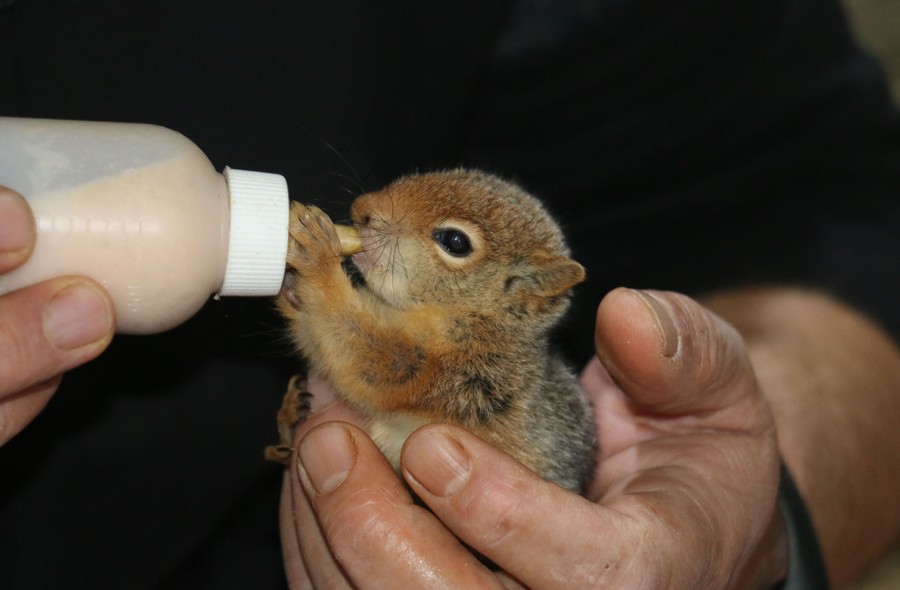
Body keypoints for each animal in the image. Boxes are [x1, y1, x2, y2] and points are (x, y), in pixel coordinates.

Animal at [266, 169, 597, 493]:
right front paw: (290, 281)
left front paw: (317, 257)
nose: (361, 208)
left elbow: (374, 360)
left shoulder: (467, 375)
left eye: (455, 241)